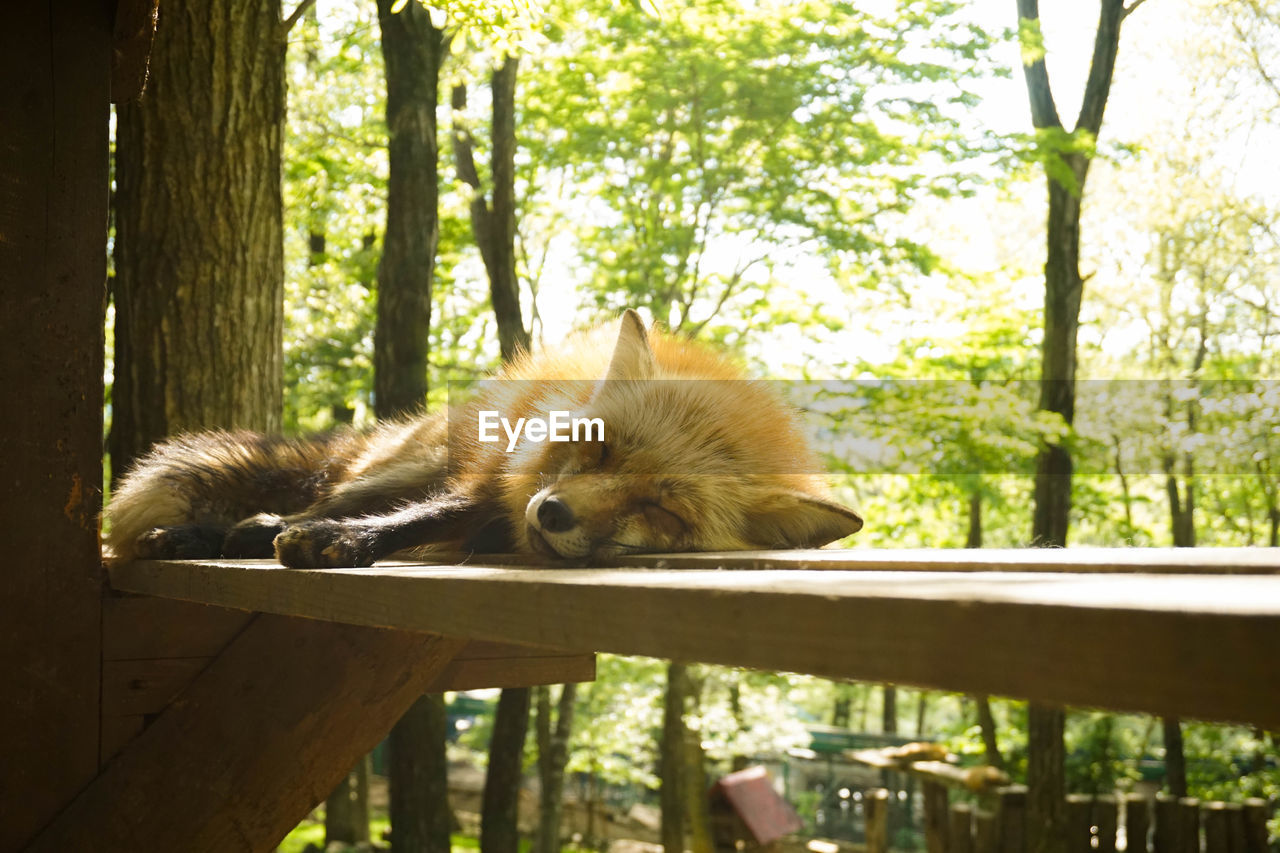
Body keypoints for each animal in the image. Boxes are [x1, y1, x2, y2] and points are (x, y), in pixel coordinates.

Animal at [102, 308, 860, 568]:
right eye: (599, 449)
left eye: (663, 510)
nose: (552, 514)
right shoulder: (495, 475)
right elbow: (427, 512)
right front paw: (344, 537)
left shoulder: (500, 506)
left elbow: (442, 519)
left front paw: (348, 542)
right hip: (413, 461)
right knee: (319, 498)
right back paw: (223, 533)